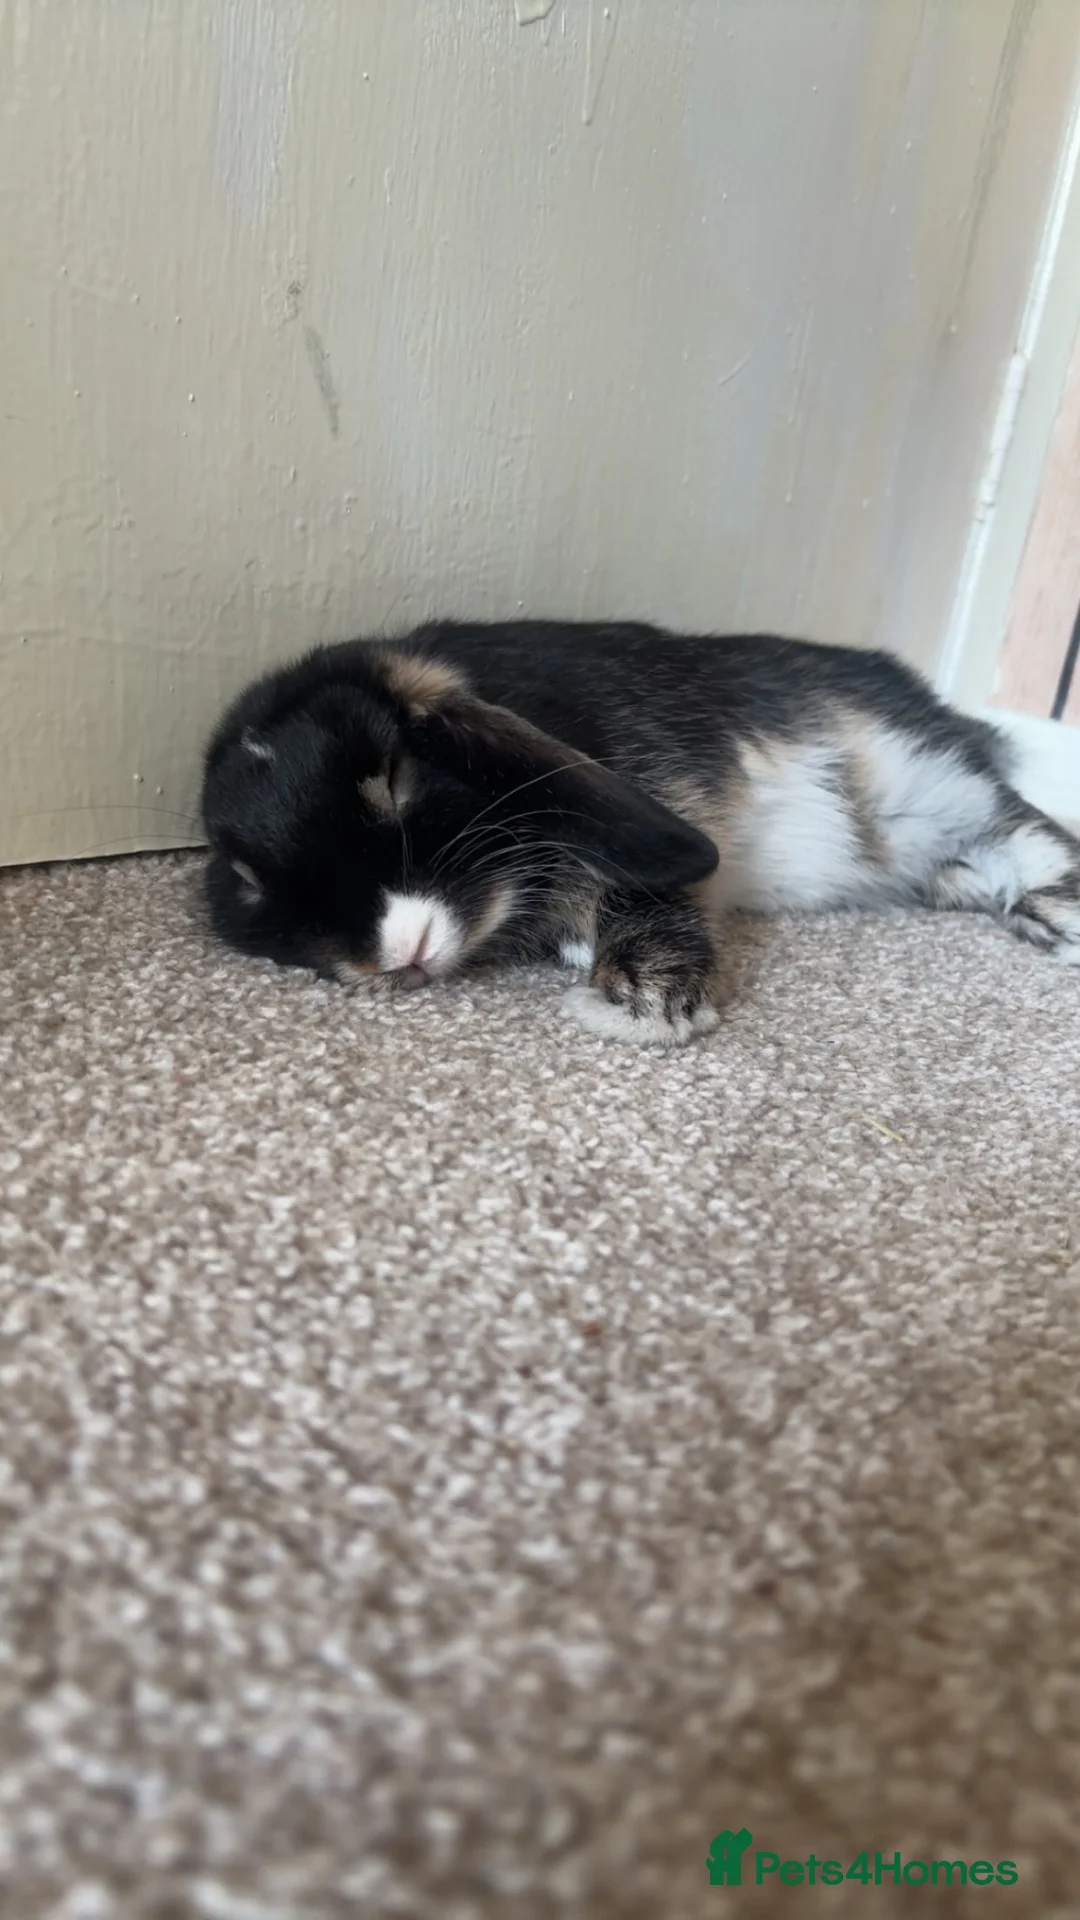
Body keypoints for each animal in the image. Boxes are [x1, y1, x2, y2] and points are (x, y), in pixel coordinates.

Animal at [200, 620, 1080, 1047]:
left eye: (393, 776)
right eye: (244, 880)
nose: (394, 953)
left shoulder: (661, 791)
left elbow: (641, 887)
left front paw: (644, 999)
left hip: (919, 778)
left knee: (1024, 825)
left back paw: (1057, 916)